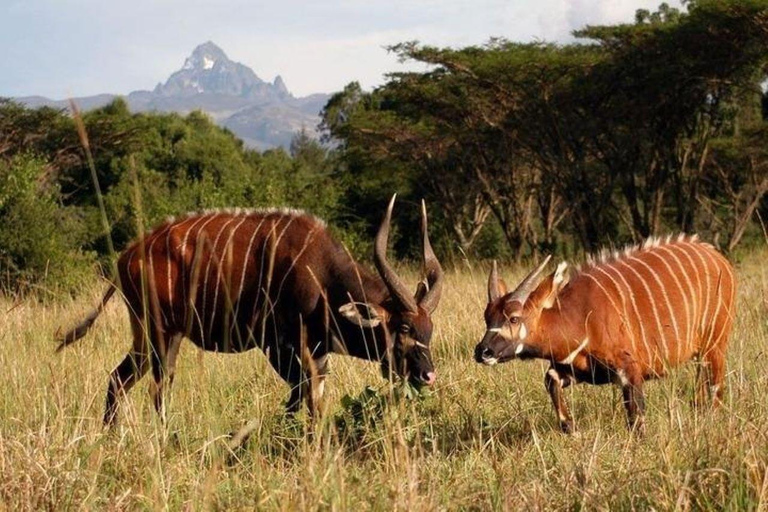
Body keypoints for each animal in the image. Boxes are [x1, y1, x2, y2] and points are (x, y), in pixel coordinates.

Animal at [57, 194, 444, 426]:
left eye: (429, 330)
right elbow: (302, 398)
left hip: (158, 338)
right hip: (160, 336)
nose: (428, 375)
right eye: (404, 328)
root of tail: (127, 255)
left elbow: (308, 399)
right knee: (154, 388)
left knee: (121, 380)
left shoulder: (315, 353)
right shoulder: (281, 346)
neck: (321, 273)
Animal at [474, 235, 736, 432]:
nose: (482, 351)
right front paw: (570, 427)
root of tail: (720, 259)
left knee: (716, 389)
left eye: (514, 318)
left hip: (715, 346)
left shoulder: (630, 370)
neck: (578, 316)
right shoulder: (577, 370)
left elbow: (636, 418)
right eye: (487, 317)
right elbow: (550, 379)